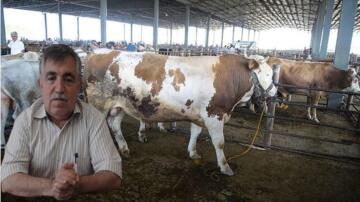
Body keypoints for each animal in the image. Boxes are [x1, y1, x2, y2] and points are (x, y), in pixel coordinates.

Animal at [86, 51, 278, 175]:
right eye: (268, 75)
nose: (276, 92)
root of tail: (97, 53)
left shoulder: (197, 114)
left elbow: (195, 133)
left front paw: (192, 152)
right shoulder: (214, 114)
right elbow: (219, 143)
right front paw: (224, 167)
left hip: (120, 106)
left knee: (115, 125)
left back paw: (124, 149)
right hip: (100, 105)